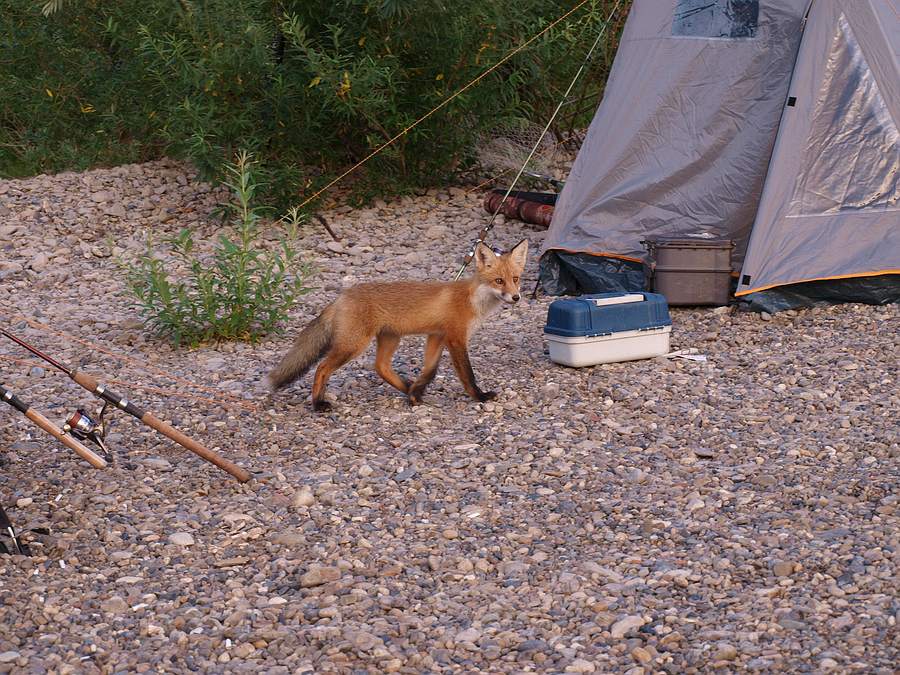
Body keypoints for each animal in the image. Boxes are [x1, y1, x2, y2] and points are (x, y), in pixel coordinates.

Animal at [266, 243, 528, 412]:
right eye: (499, 281)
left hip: (390, 339)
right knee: (322, 367)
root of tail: (342, 296)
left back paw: (406, 387)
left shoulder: (436, 336)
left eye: (515, 279)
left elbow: (429, 370)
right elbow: (467, 374)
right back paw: (318, 404)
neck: (473, 300)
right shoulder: (455, 338)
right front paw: (480, 396)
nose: (516, 298)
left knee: (380, 367)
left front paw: (416, 393)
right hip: (354, 345)